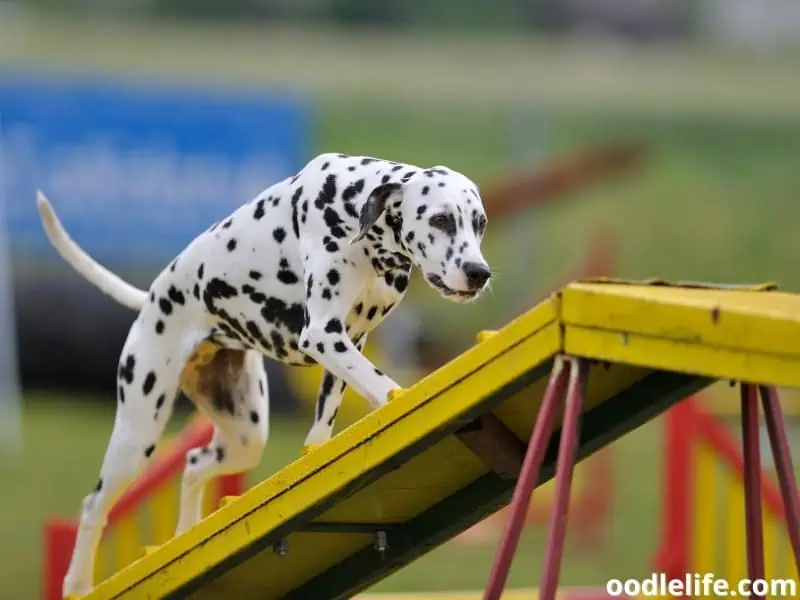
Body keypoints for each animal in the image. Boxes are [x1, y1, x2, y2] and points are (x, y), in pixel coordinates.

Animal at [39, 152, 494, 596]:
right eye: (440, 219)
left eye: (480, 223)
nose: (478, 272)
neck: (353, 208)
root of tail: (151, 296)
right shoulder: (323, 335)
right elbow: (384, 388)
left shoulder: (349, 342)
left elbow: (323, 428)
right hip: (137, 436)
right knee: (94, 506)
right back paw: (77, 585)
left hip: (246, 436)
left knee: (193, 463)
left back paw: (185, 535)